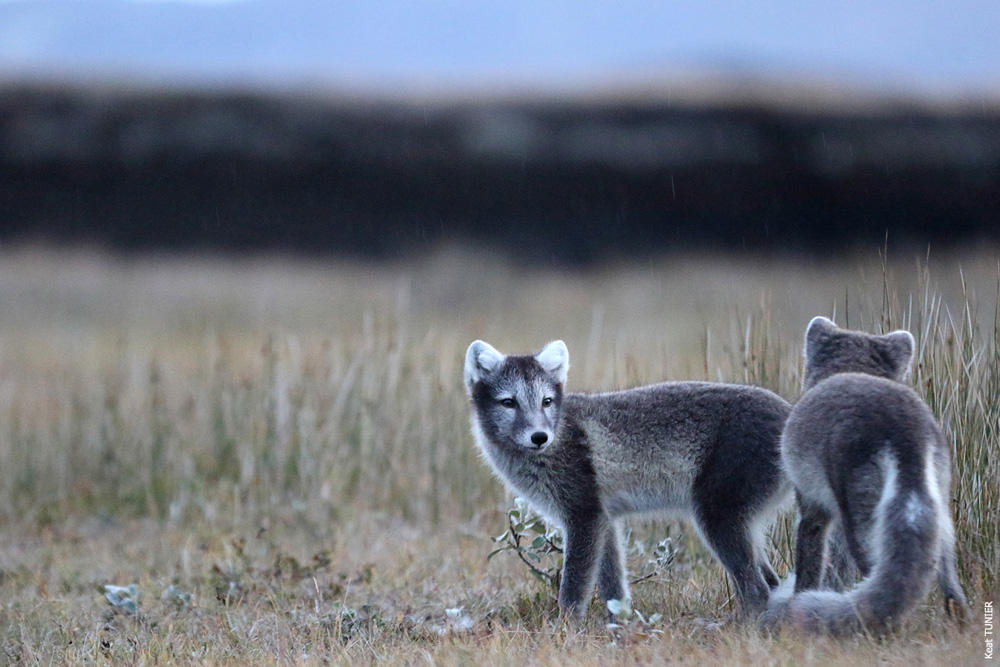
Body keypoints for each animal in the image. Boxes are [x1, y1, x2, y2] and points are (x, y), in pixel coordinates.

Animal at [464, 342, 792, 624]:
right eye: (508, 403)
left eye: (546, 401)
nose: (540, 437)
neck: (560, 432)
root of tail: (790, 413)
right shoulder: (604, 520)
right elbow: (613, 588)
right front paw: (618, 628)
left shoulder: (583, 515)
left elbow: (573, 590)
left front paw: (565, 633)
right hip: (745, 526)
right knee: (772, 582)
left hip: (716, 519)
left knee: (757, 589)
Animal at [764, 318, 968, 636]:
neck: (851, 366)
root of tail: (903, 433)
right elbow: (836, 567)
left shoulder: (812, 506)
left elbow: (810, 563)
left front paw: (798, 603)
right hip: (941, 515)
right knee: (951, 584)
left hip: (864, 518)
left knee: (874, 572)